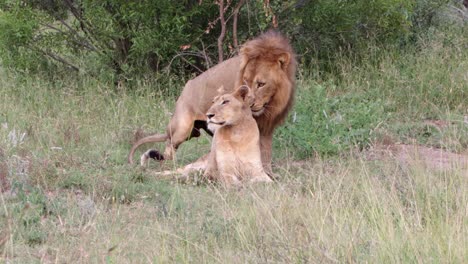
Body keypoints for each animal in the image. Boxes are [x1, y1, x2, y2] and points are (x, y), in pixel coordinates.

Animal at [129, 31, 296, 174]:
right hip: (183, 128)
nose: (249, 102)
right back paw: (170, 165)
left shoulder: (267, 127)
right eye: (245, 81)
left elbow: (265, 153)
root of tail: (182, 94)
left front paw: (268, 173)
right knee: (169, 146)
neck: (270, 103)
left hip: (195, 132)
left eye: (261, 84)